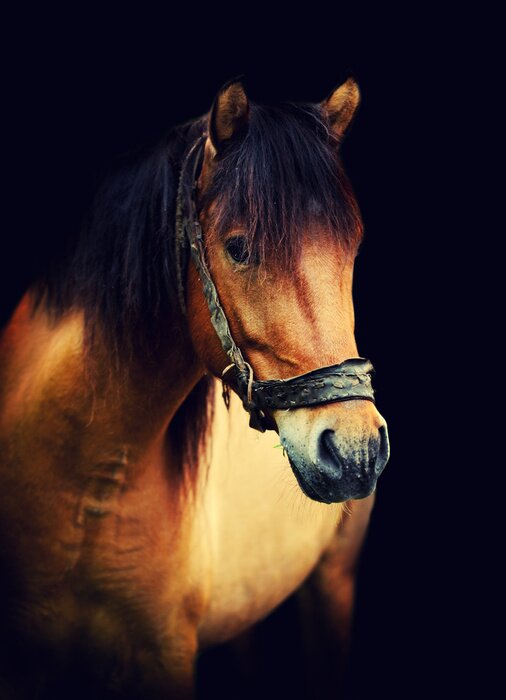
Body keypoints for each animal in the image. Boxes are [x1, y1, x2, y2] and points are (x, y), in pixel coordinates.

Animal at [0, 77, 390, 699]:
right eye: (238, 247)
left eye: (352, 247)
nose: (356, 451)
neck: (84, 489)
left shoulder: (165, 658)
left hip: (333, 580)